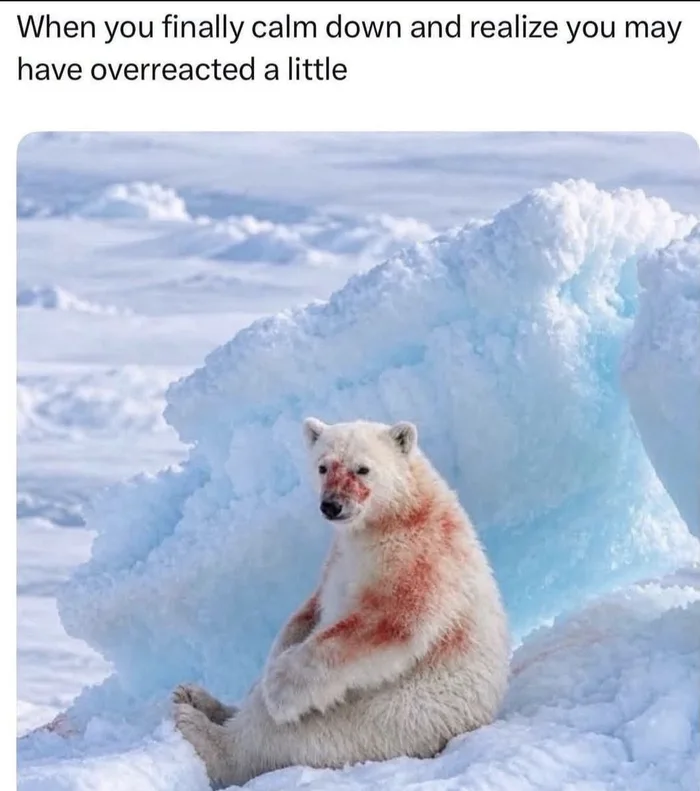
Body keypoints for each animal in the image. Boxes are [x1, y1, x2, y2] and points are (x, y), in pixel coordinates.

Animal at [173, 417, 511, 789]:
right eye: (323, 466)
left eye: (362, 469)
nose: (331, 505)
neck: (395, 516)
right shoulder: (339, 556)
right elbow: (310, 609)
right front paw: (271, 664)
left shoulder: (421, 555)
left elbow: (385, 623)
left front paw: (277, 689)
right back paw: (197, 697)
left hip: (388, 719)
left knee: (281, 738)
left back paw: (199, 726)